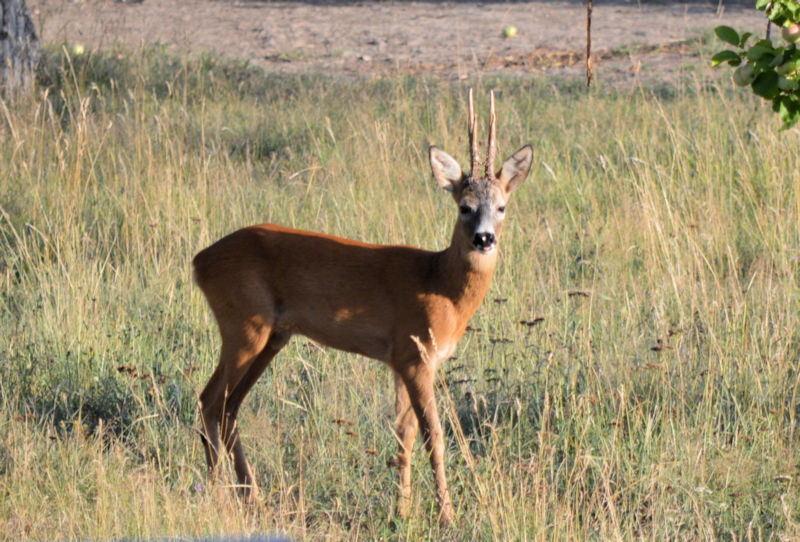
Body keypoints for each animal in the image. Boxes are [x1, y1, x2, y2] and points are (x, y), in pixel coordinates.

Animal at [193, 90, 532, 528]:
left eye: (502, 206)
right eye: (465, 206)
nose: (484, 239)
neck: (439, 284)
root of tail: (199, 261)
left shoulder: (400, 360)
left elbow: (404, 433)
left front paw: (403, 511)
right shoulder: (415, 355)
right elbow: (434, 435)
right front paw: (447, 516)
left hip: (271, 337)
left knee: (230, 407)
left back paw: (251, 497)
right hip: (242, 327)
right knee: (210, 400)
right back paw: (219, 494)